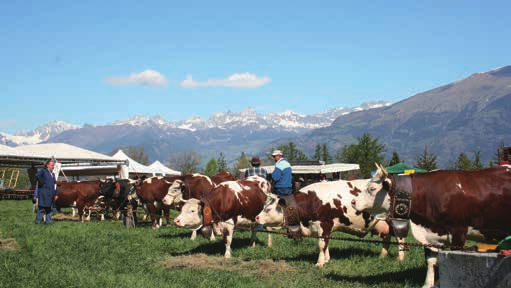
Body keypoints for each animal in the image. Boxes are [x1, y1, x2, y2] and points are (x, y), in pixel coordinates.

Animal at [254, 180, 406, 268]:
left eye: (268, 208)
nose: (256, 217)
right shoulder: (324, 228)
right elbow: (325, 244)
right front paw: (327, 259)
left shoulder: (324, 225)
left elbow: (321, 245)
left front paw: (320, 263)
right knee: (387, 238)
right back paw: (383, 256)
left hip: (396, 221)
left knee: (401, 239)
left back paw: (400, 259)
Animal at [352, 164, 511, 288]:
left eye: (372, 188)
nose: (353, 202)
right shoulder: (429, 235)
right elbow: (431, 261)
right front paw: (427, 284)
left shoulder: (458, 231)